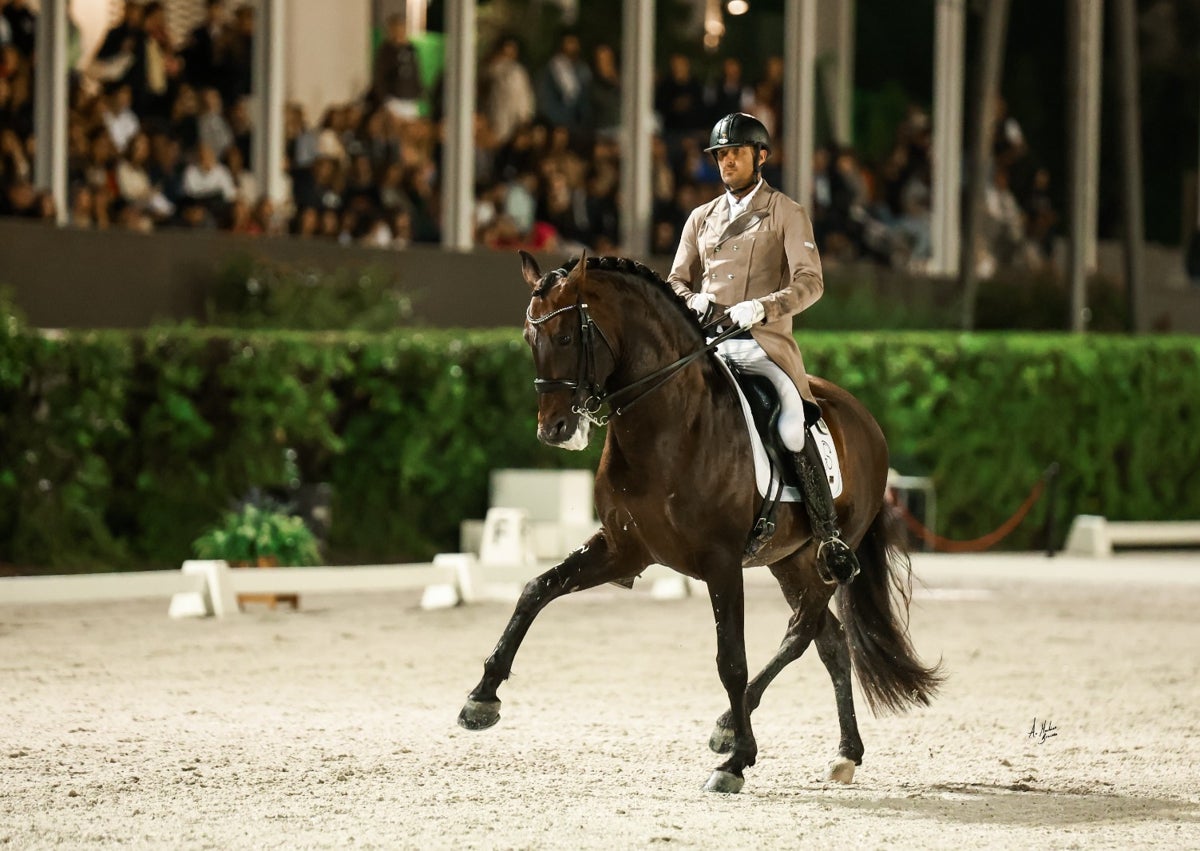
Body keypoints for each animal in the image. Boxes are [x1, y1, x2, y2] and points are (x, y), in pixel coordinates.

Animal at [453, 250, 940, 792]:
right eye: (527, 338)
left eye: (564, 337)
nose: (555, 430)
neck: (665, 427)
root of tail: (863, 416)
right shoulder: (623, 548)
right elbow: (536, 589)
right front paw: (481, 697)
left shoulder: (720, 562)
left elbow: (731, 658)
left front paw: (736, 762)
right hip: (788, 561)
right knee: (830, 641)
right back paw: (843, 752)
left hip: (825, 555)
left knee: (801, 631)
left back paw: (733, 728)